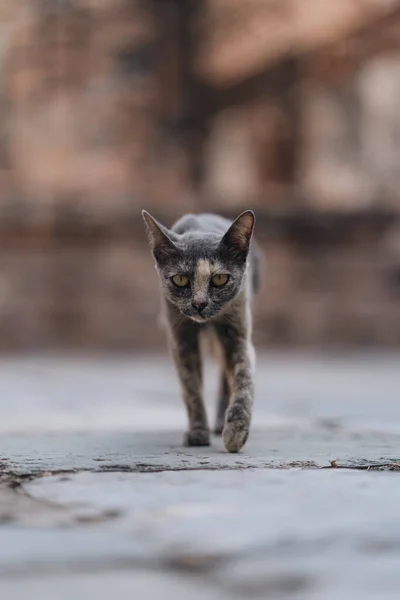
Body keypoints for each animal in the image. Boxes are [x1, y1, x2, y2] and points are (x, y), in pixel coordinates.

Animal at [142, 209, 260, 452]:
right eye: (180, 279)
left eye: (220, 279)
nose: (199, 304)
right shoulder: (180, 338)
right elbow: (192, 388)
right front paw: (197, 432)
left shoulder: (238, 333)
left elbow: (243, 378)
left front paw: (236, 432)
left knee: (226, 377)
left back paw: (220, 423)